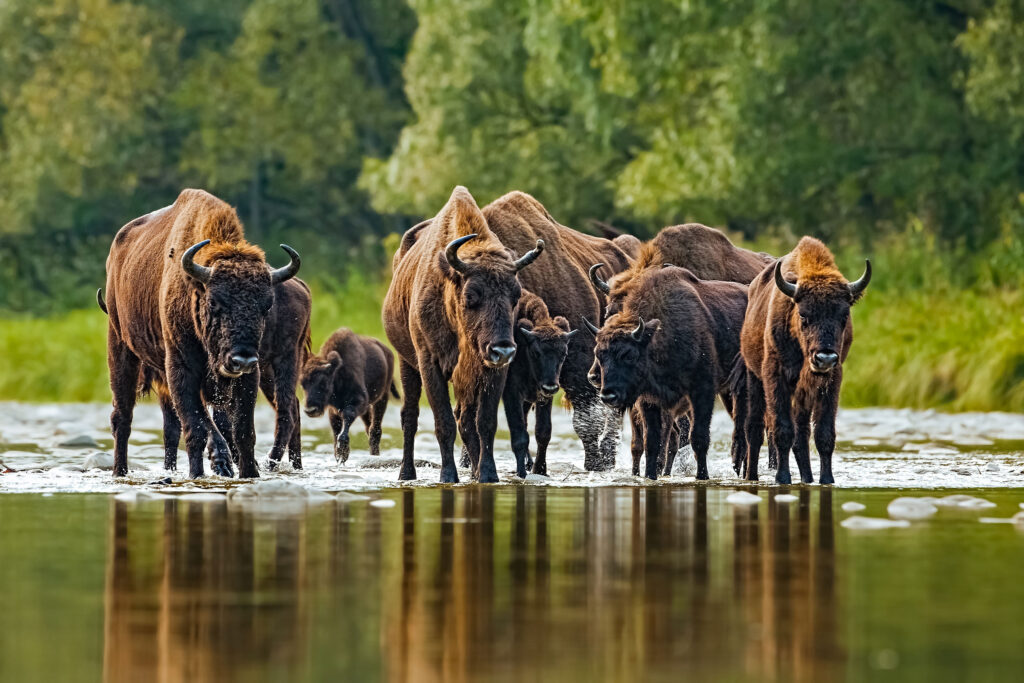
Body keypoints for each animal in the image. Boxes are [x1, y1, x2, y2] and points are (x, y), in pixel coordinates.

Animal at [103, 189, 300, 478]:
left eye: (267, 305)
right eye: (214, 302)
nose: (242, 359)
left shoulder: (248, 377)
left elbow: (243, 432)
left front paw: (249, 473)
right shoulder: (181, 368)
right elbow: (195, 428)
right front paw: (199, 473)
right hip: (120, 346)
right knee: (122, 417)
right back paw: (120, 471)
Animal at [300, 328, 398, 463]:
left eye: (323, 382)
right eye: (302, 383)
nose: (310, 410)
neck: (337, 373)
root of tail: (387, 351)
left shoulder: (358, 401)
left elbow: (347, 416)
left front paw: (342, 453)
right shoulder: (333, 409)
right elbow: (336, 428)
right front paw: (338, 453)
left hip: (383, 396)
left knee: (375, 429)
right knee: (369, 428)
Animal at [383, 187, 543, 483]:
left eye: (515, 295)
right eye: (471, 296)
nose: (503, 350)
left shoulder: (491, 372)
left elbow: (484, 422)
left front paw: (488, 474)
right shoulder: (429, 364)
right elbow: (443, 422)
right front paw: (448, 476)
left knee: (466, 420)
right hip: (406, 363)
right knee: (409, 416)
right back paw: (406, 472)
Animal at [585, 266, 748, 480]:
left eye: (629, 355)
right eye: (599, 353)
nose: (608, 395)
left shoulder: (702, 391)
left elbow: (698, 438)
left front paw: (702, 476)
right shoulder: (649, 400)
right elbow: (652, 443)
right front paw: (649, 476)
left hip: (738, 389)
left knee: (744, 432)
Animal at [740, 237, 871, 484]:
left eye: (844, 315)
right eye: (803, 314)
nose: (824, 358)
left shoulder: (831, 380)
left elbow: (823, 434)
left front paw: (827, 479)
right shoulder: (776, 376)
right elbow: (782, 430)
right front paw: (782, 478)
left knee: (801, 436)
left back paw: (807, 478)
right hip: (754, 378)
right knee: (754, 429)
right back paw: (751, 476)